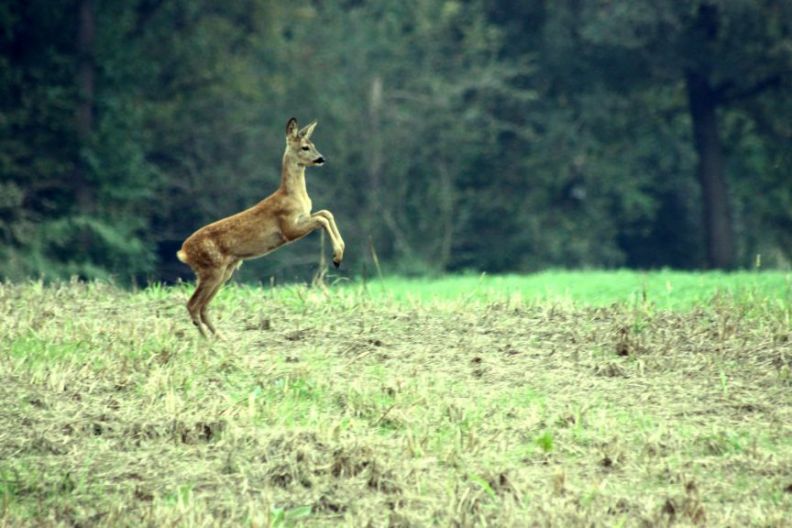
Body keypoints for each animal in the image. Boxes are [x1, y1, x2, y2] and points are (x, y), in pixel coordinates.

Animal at [176, 117, 344, 336]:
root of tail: (183, 252)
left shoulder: (304, 217)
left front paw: (339, 255)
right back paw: (208, 340)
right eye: (305, 147)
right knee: (193, 304)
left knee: (202, 306)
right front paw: (337, 256)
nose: (321, 159)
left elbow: (326, 213)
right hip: (211, 269)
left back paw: (220, 337)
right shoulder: (288, 228)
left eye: (313, 144)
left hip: (223, 271)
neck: (293, 195)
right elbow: (322, 219)